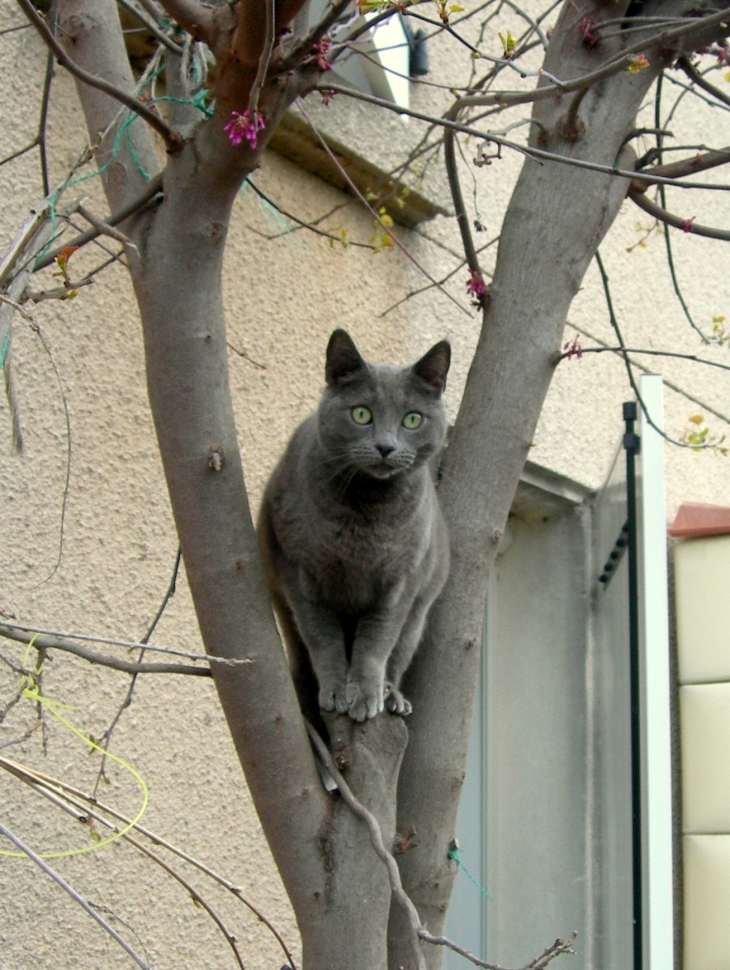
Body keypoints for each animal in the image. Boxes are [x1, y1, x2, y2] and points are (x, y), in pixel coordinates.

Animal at [256, 330, 450, 720]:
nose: (386, 446)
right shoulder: (298, 569)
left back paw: (392, 696)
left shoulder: (402, 582)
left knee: (398, 653)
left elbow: (377, 642)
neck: (366, 509)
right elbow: (322, 637)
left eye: (412, 419)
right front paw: (335, 691)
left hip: (418, 616)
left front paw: (364, 694)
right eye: (361, 414)